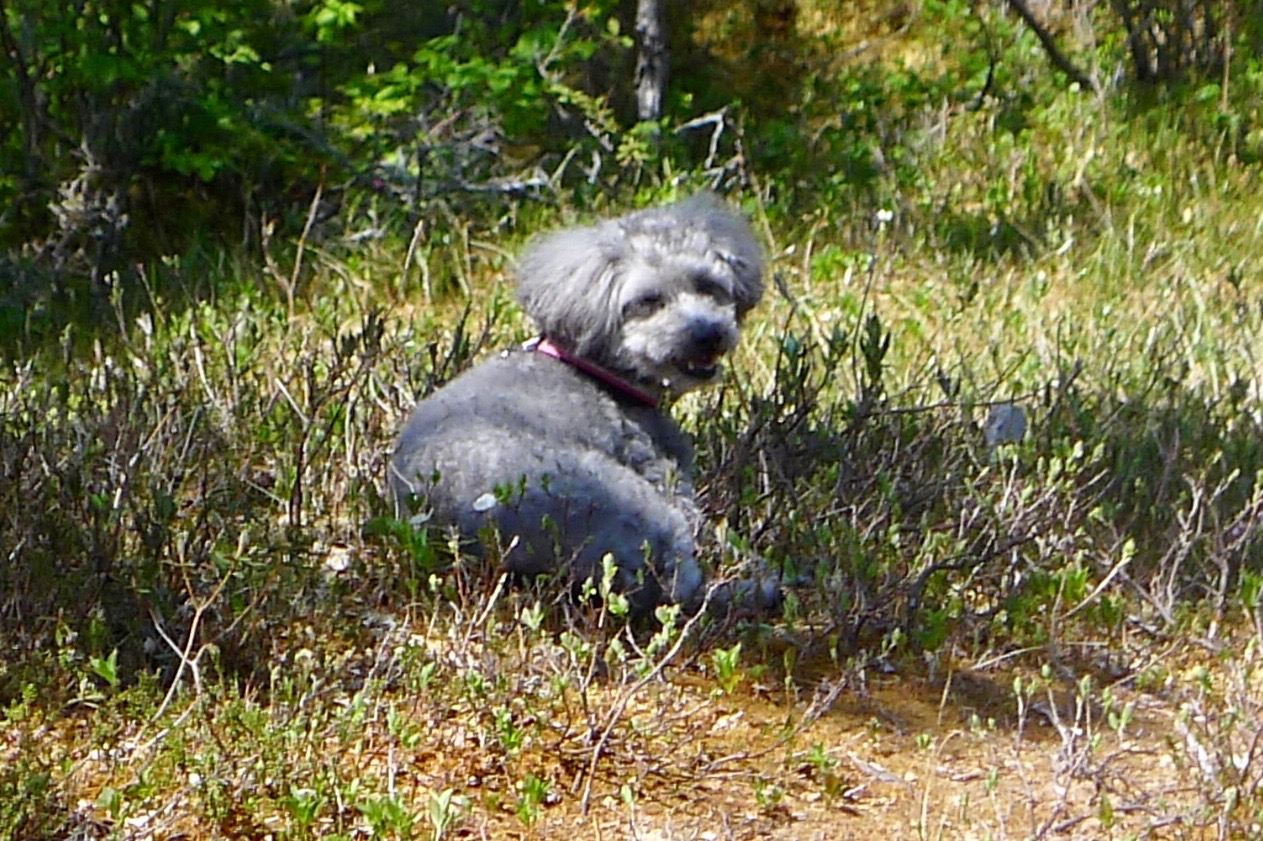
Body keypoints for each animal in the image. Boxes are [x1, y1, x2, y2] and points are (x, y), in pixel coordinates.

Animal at [389, 194, 773, 616]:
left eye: (708, 286)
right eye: (648, 302)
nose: (707, 334)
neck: (600, 371)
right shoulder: (662, 473)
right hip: (637, 505)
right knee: (682, 584)